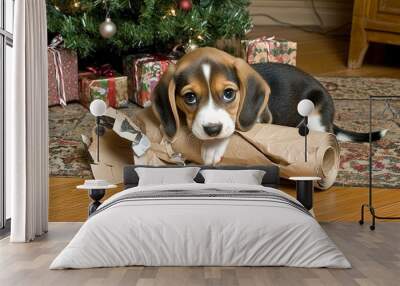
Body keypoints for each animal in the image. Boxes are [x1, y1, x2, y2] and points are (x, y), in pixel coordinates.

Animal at [152, 47, 386, 165]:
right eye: (190, 97)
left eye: (229, 94)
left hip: (317, 112)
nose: (212, 130)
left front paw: (213, 146)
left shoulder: (260, 118)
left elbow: (234, 128)